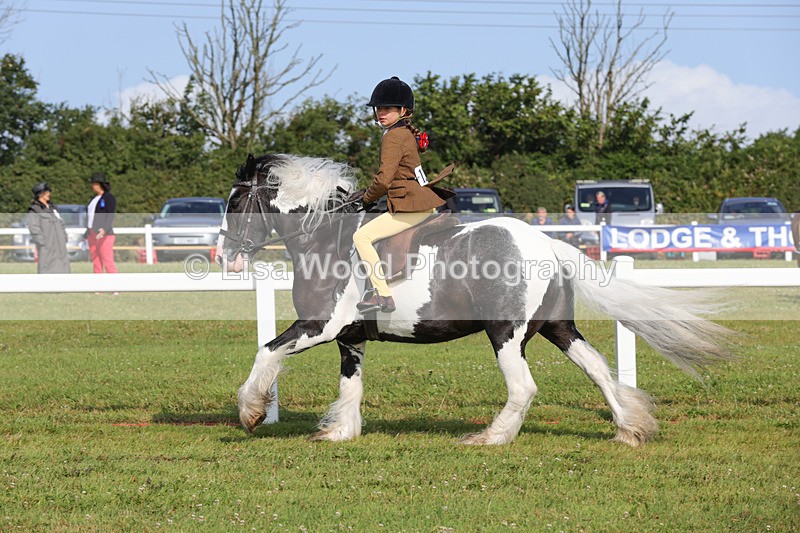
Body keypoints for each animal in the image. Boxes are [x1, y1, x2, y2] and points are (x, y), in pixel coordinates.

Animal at [217, 153, 733, 446]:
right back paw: (630, 429)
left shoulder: (320, 326)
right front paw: (341, 432)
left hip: (506, 332)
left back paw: (491, 437)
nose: (226, 256)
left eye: (237, 201)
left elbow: (267, 351)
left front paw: (251, 412)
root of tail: (546, 243)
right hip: (558, 328)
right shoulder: (350, 335)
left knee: (524, 388)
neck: (324, 240)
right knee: (599, 370)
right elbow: (351, 386)